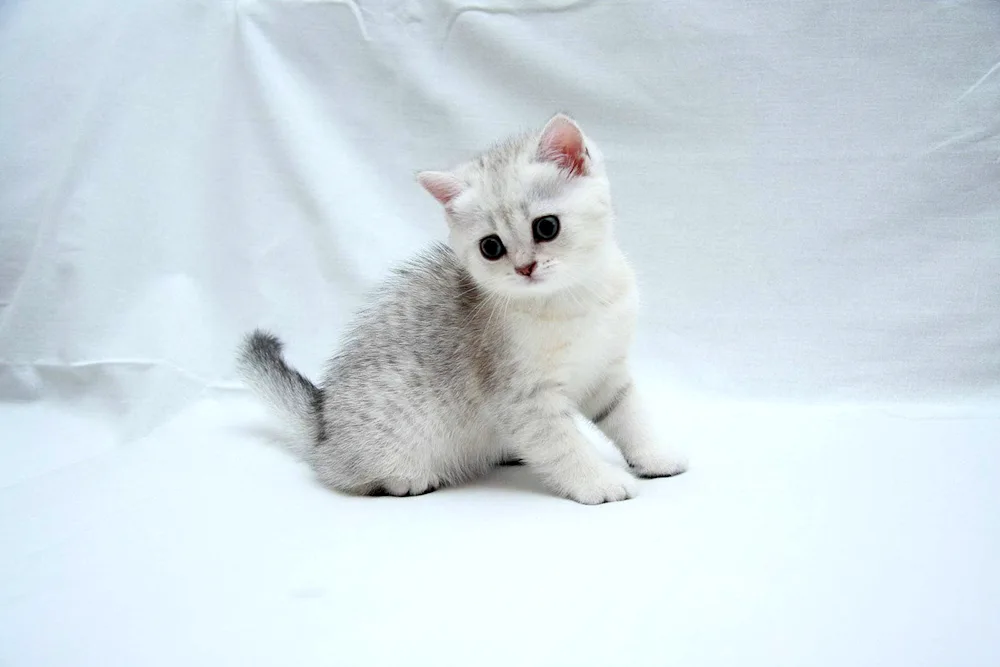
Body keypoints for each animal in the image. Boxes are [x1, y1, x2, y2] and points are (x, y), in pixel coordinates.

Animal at [236, 115, 688, 504]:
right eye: (491, 247)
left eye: (546, 227)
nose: (525, 267)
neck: (573, 300)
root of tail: (323, 428)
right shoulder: (523, 400)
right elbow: (565, 447)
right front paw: (599, 482)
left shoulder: (608, 373)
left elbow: (631, 418)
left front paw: (655, 457)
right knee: (347, 477)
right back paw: (405, 479)